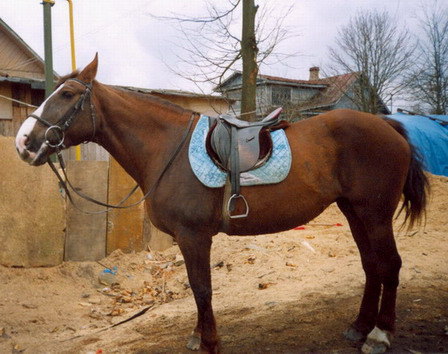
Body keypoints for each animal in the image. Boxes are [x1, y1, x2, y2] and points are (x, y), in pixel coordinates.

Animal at [14, 55, 428, 352]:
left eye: (67, 95)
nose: (24, 142)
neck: (167, 149)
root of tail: (386, 125)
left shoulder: (194, 235)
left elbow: (202, 288)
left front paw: (210, 342)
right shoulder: (188, 239)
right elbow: (197, 287)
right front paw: (199, 336)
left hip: (375, 214)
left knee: (390, 265)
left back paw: (379, 336)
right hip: (354, 211)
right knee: (372, 266)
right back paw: (359, 328)